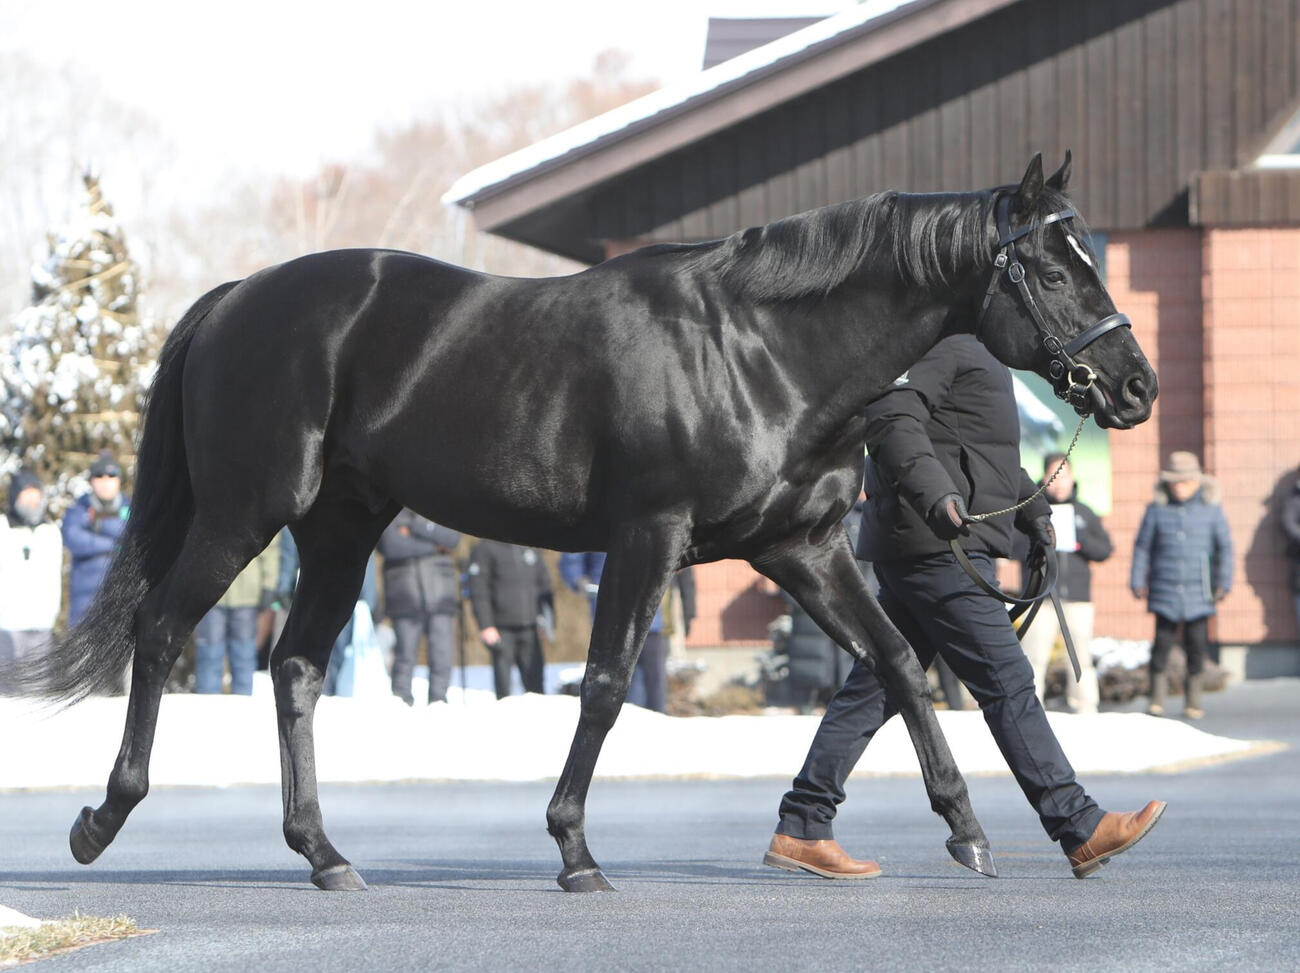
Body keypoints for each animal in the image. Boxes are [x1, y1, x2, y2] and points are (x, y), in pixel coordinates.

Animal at [15, 153, 1156, 893]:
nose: (1135, 386)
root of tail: (238, 297)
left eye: (1090, 253)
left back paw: (325, 855)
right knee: (163, 631)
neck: (757, 349)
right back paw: (99, 820)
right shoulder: (648, 537)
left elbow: (898, 667)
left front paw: (969, 830)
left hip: (341, 530)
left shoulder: (799, 548)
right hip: (248, 512)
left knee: (293, 667)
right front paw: (573, 850)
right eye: (1051, 265)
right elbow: (604, 686)